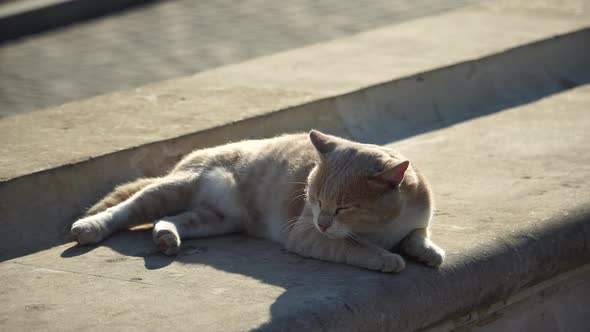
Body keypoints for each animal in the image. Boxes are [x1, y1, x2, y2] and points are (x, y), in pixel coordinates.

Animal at [71, 130, 446, 272]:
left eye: (344, 208)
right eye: (315, 201)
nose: (324, 221)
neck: (385, 226)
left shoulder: (417, 222)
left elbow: (417, 237)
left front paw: (428, 253)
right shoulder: (306, 234)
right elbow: (356, 248)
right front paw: (387, 258)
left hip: (217, 219)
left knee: (172, 220)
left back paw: (166, 238)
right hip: (175, 188)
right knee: (129, 207)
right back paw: (89, 226)